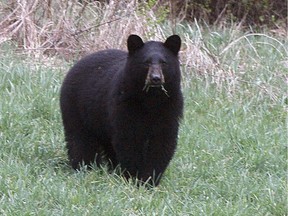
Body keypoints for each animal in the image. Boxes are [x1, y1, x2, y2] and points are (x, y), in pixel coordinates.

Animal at [59, 34, 183, 186]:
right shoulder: (125, 105)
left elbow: (162, 143)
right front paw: (132, 177)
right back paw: (84, 167)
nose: (155, 78)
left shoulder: (170, 108)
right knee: (79, 139)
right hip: (76, 107)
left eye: (164, 63)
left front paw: (149, 180)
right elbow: (128, 140)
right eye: (146, 63)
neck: (151, 99)